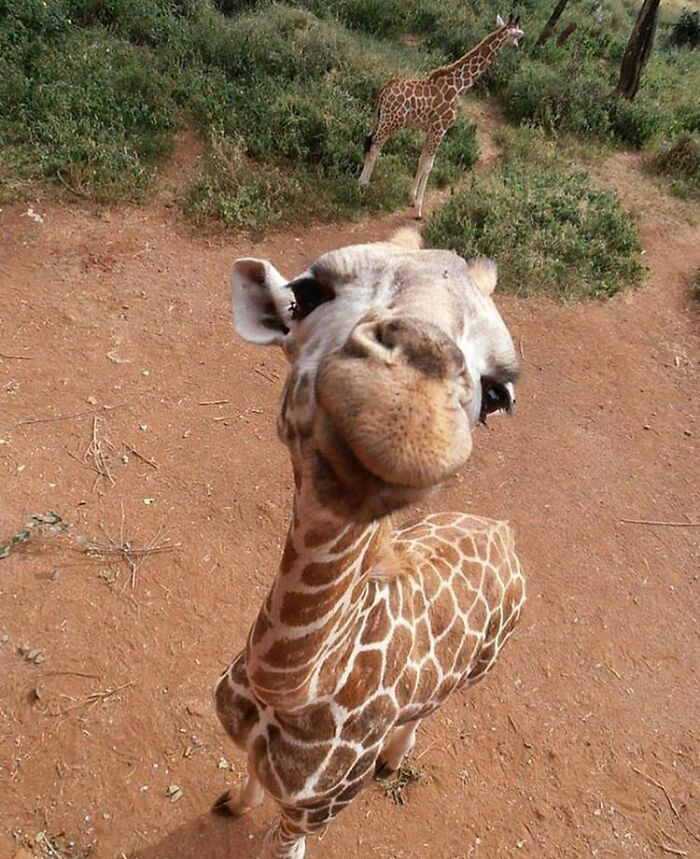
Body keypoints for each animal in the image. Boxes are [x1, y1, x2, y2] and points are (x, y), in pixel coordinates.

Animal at [213, 229, 525, 859]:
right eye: (306, 294)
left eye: (497, 393)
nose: (406, 412)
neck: (290, 691)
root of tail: (503, 532)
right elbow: (250, 776)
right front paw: (234, 803)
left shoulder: (314, 813)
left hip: (483, 666)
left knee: (431, 709)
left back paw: (392, 759)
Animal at [359, 15, 524, 218]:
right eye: (518, 33)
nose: (518, 44)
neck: (459, 85)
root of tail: (383, 92)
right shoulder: (441, 128)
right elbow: (429, 165)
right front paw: (419, 209)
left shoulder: (431, 129)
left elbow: (421, 161)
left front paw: (411, 199)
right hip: (391, 122)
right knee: (374, 147)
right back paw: (362, 186)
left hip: (379, 118)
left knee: (369, 143)